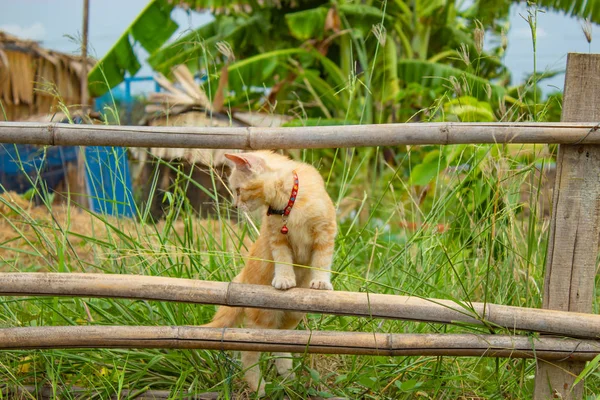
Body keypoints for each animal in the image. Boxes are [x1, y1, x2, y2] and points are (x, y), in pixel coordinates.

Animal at [204, 150, 338, 394]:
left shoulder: (325, 232)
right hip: (261, 320)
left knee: (281, 343)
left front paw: (321, 283)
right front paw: (284, 280)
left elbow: (322, 261)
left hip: (291, 317)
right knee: (248, 356)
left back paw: (287, 376)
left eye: (238, 190)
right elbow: (283, 260)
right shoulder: (277, 237)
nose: (235, 206)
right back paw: (258, 388)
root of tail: (241, 278)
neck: (289, 203)